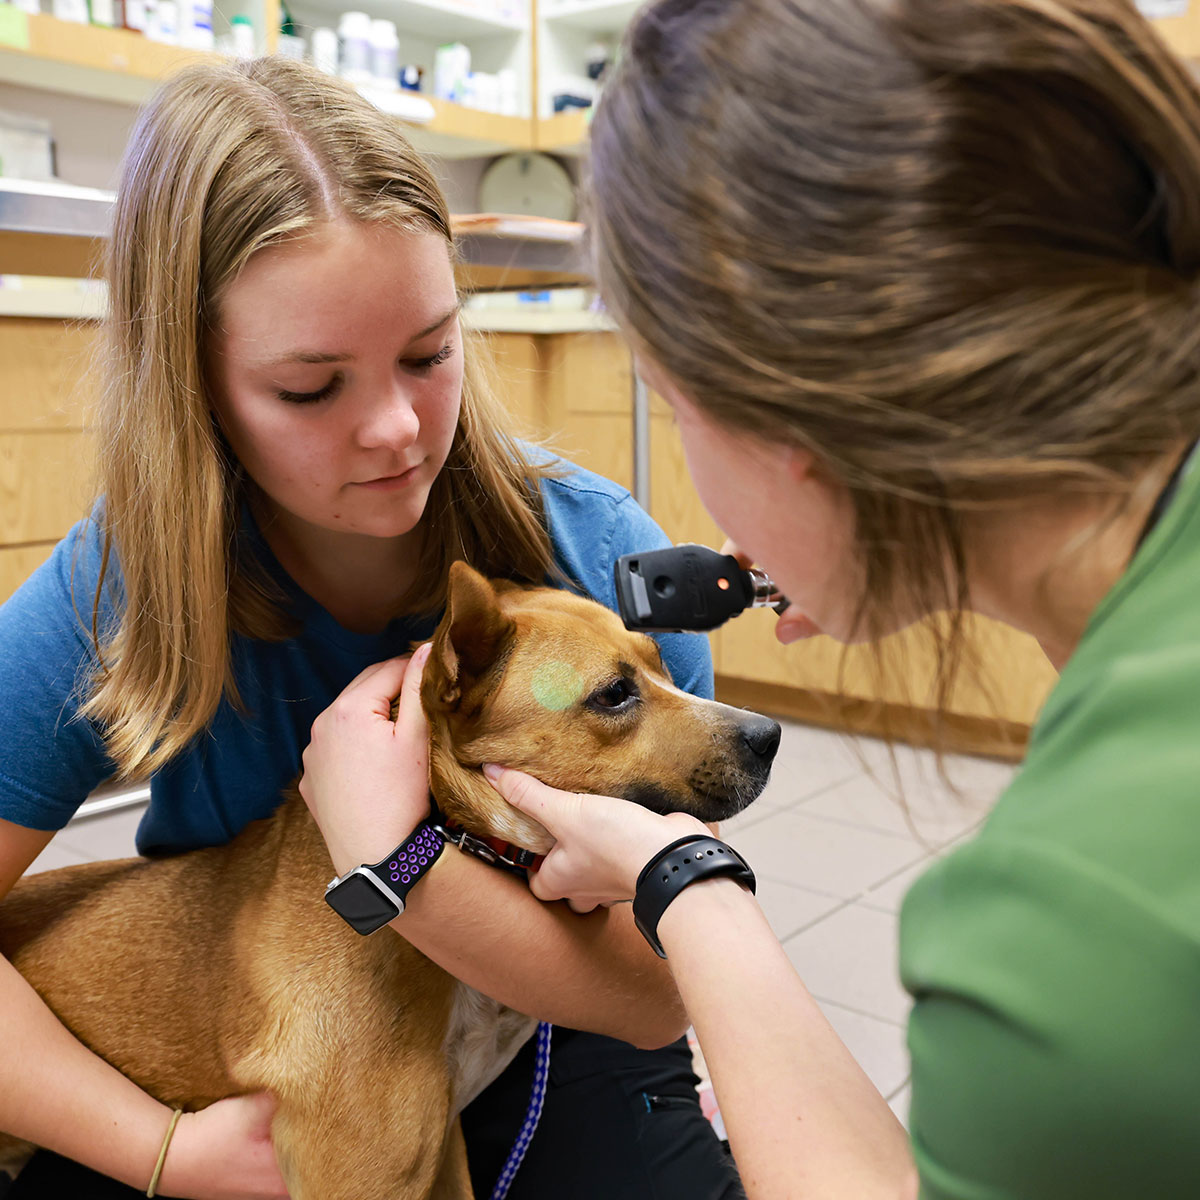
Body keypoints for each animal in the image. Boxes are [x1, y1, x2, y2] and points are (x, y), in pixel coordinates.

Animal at [0, 564, 782, 1200]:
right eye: (615, 694)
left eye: (660, 663)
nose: (771, 734)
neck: (442, 836)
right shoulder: (367, 1169)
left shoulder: (443, 1154)